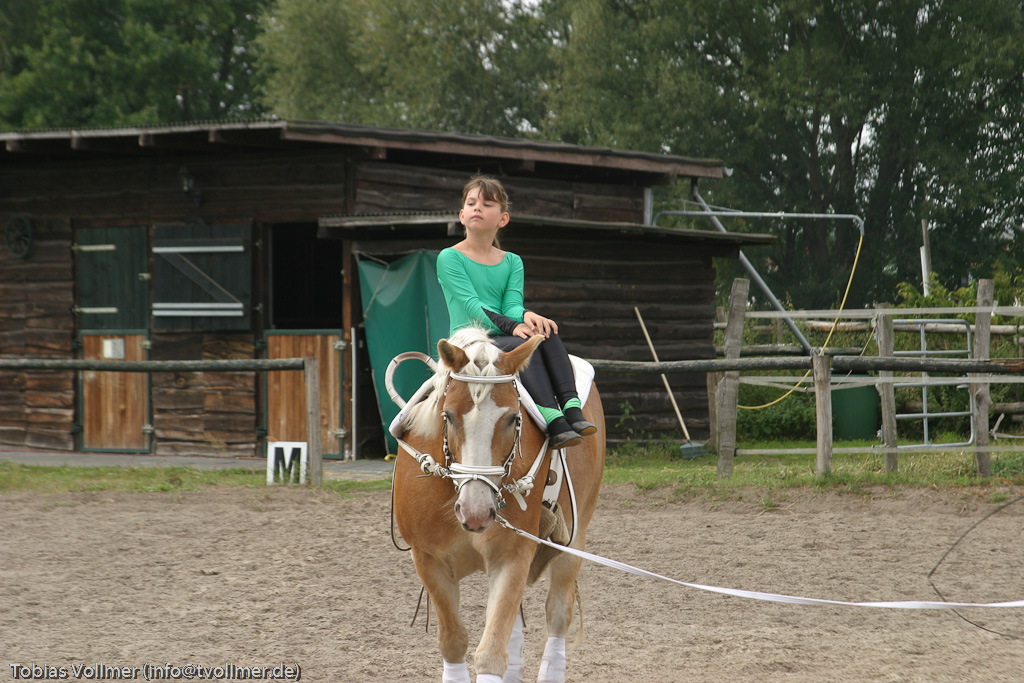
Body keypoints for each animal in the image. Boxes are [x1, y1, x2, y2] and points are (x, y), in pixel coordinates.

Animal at [390, 326, 606, 683]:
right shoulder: (429, 560)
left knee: (558, 614)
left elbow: (491, 653)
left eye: (512, 419)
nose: (476, 512)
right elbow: (453, 642)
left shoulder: (512, 555)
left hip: (576, 536)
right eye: (448, 416)